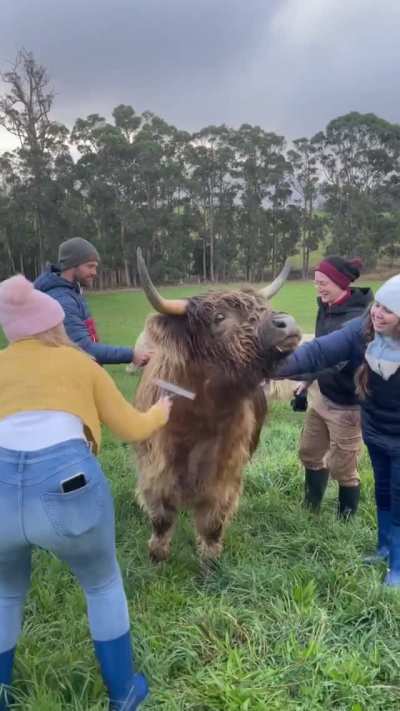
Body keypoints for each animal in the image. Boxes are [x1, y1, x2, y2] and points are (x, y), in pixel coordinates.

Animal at [133, 249, 301, 566]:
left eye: (263, 306)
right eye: (219, 317)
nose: (287, 323)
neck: (197, 416)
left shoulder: (225, 472)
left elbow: (212, 521)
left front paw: (210, 562)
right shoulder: (155, 470)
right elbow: (161, 517)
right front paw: (157, 557)